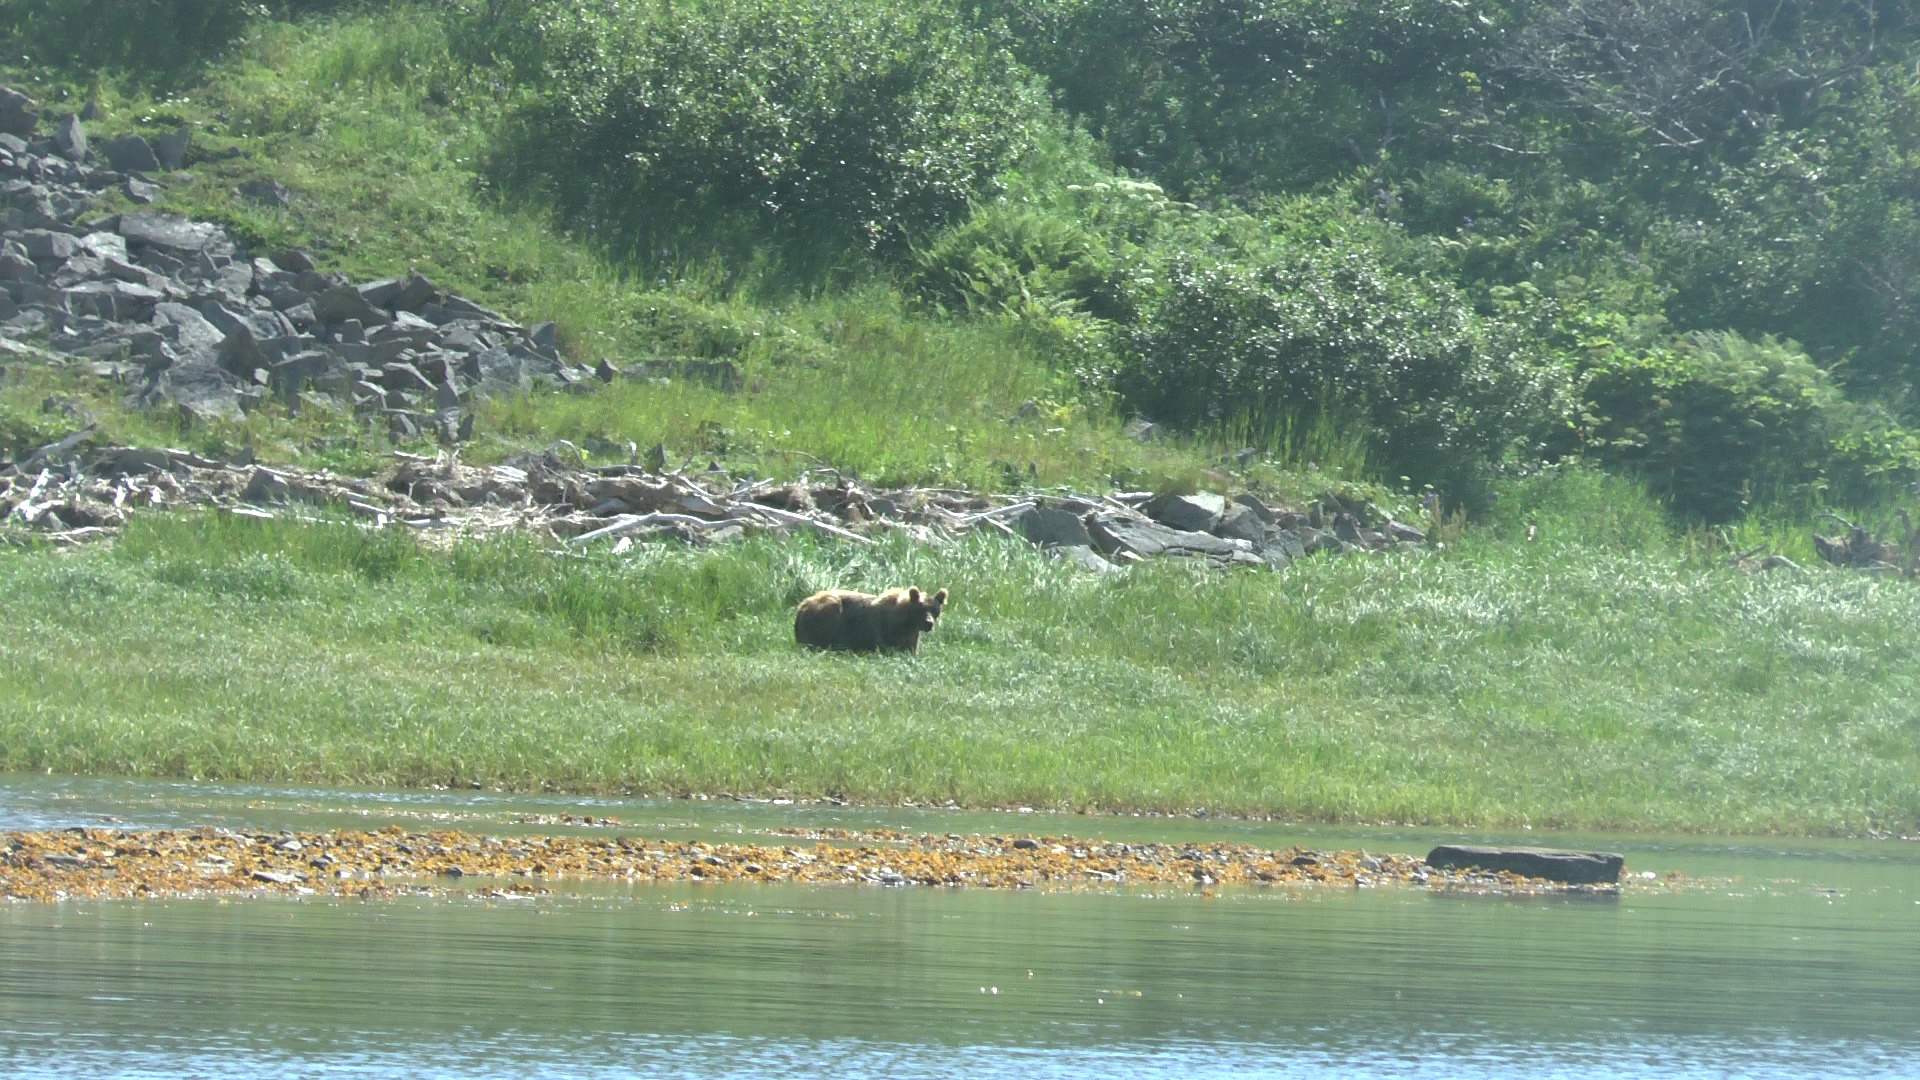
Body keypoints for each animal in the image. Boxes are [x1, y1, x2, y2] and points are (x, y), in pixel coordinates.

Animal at [794, 586, 949, 654]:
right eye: (921, 608)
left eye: (935, 610)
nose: (929, 623)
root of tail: (801, 606)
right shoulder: (880, 629)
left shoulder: (910, 637)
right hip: (827, 612)